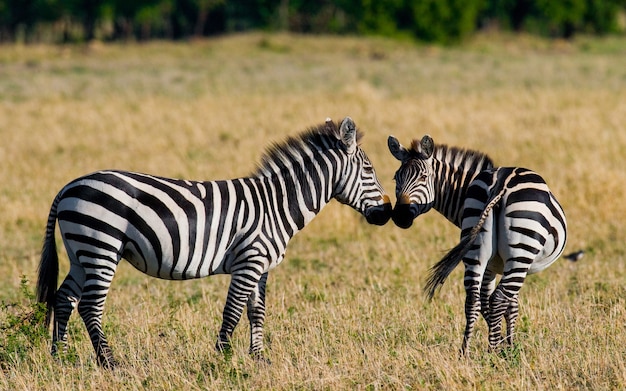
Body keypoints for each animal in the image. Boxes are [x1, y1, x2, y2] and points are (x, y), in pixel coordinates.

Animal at [35, 116, 390, 368]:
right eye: (369, 169)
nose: (386, 214)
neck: (276, 204)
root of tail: (68, 186)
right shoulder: (249, 260)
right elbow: (232, 311)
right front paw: (224, 357)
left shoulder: (261, 266)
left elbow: (256, 312)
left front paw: (258, 358)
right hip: (102, 246)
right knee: (90, 305)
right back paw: (109, 362)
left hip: (81, 252)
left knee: (64, 299)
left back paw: (60, 357)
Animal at [386, 134, 564, 356]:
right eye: (396, 178)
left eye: (423, 177)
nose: (400, 217)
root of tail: (501, 184)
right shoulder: (500, 265)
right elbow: (509, 305)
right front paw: (509, 345)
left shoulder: (490, 265)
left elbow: (486, 302)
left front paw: (501, 341)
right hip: (520, 254)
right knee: (499, 299)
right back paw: (493, 351)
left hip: (476, 249)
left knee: (472, 300)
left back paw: (466, 352)